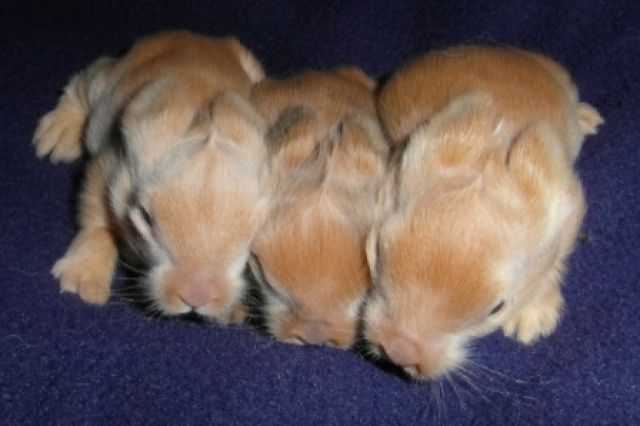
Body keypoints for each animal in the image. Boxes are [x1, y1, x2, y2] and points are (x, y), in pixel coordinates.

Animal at [32, 30, 268, 324]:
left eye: (253, 230)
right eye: (146, 218)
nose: (195, 298)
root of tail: (192, 36)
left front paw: (232, 312)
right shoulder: (108, 169)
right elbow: (96, 223)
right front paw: (82, 282)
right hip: (103, 84)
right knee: (83, 83)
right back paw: (56, 138)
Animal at [364, 45, 603, 379]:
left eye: (498, 308)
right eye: (375, 252)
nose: (399, 351)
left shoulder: (570, 210)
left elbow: (553, 262)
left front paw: (532, 321)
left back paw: (587, 117)